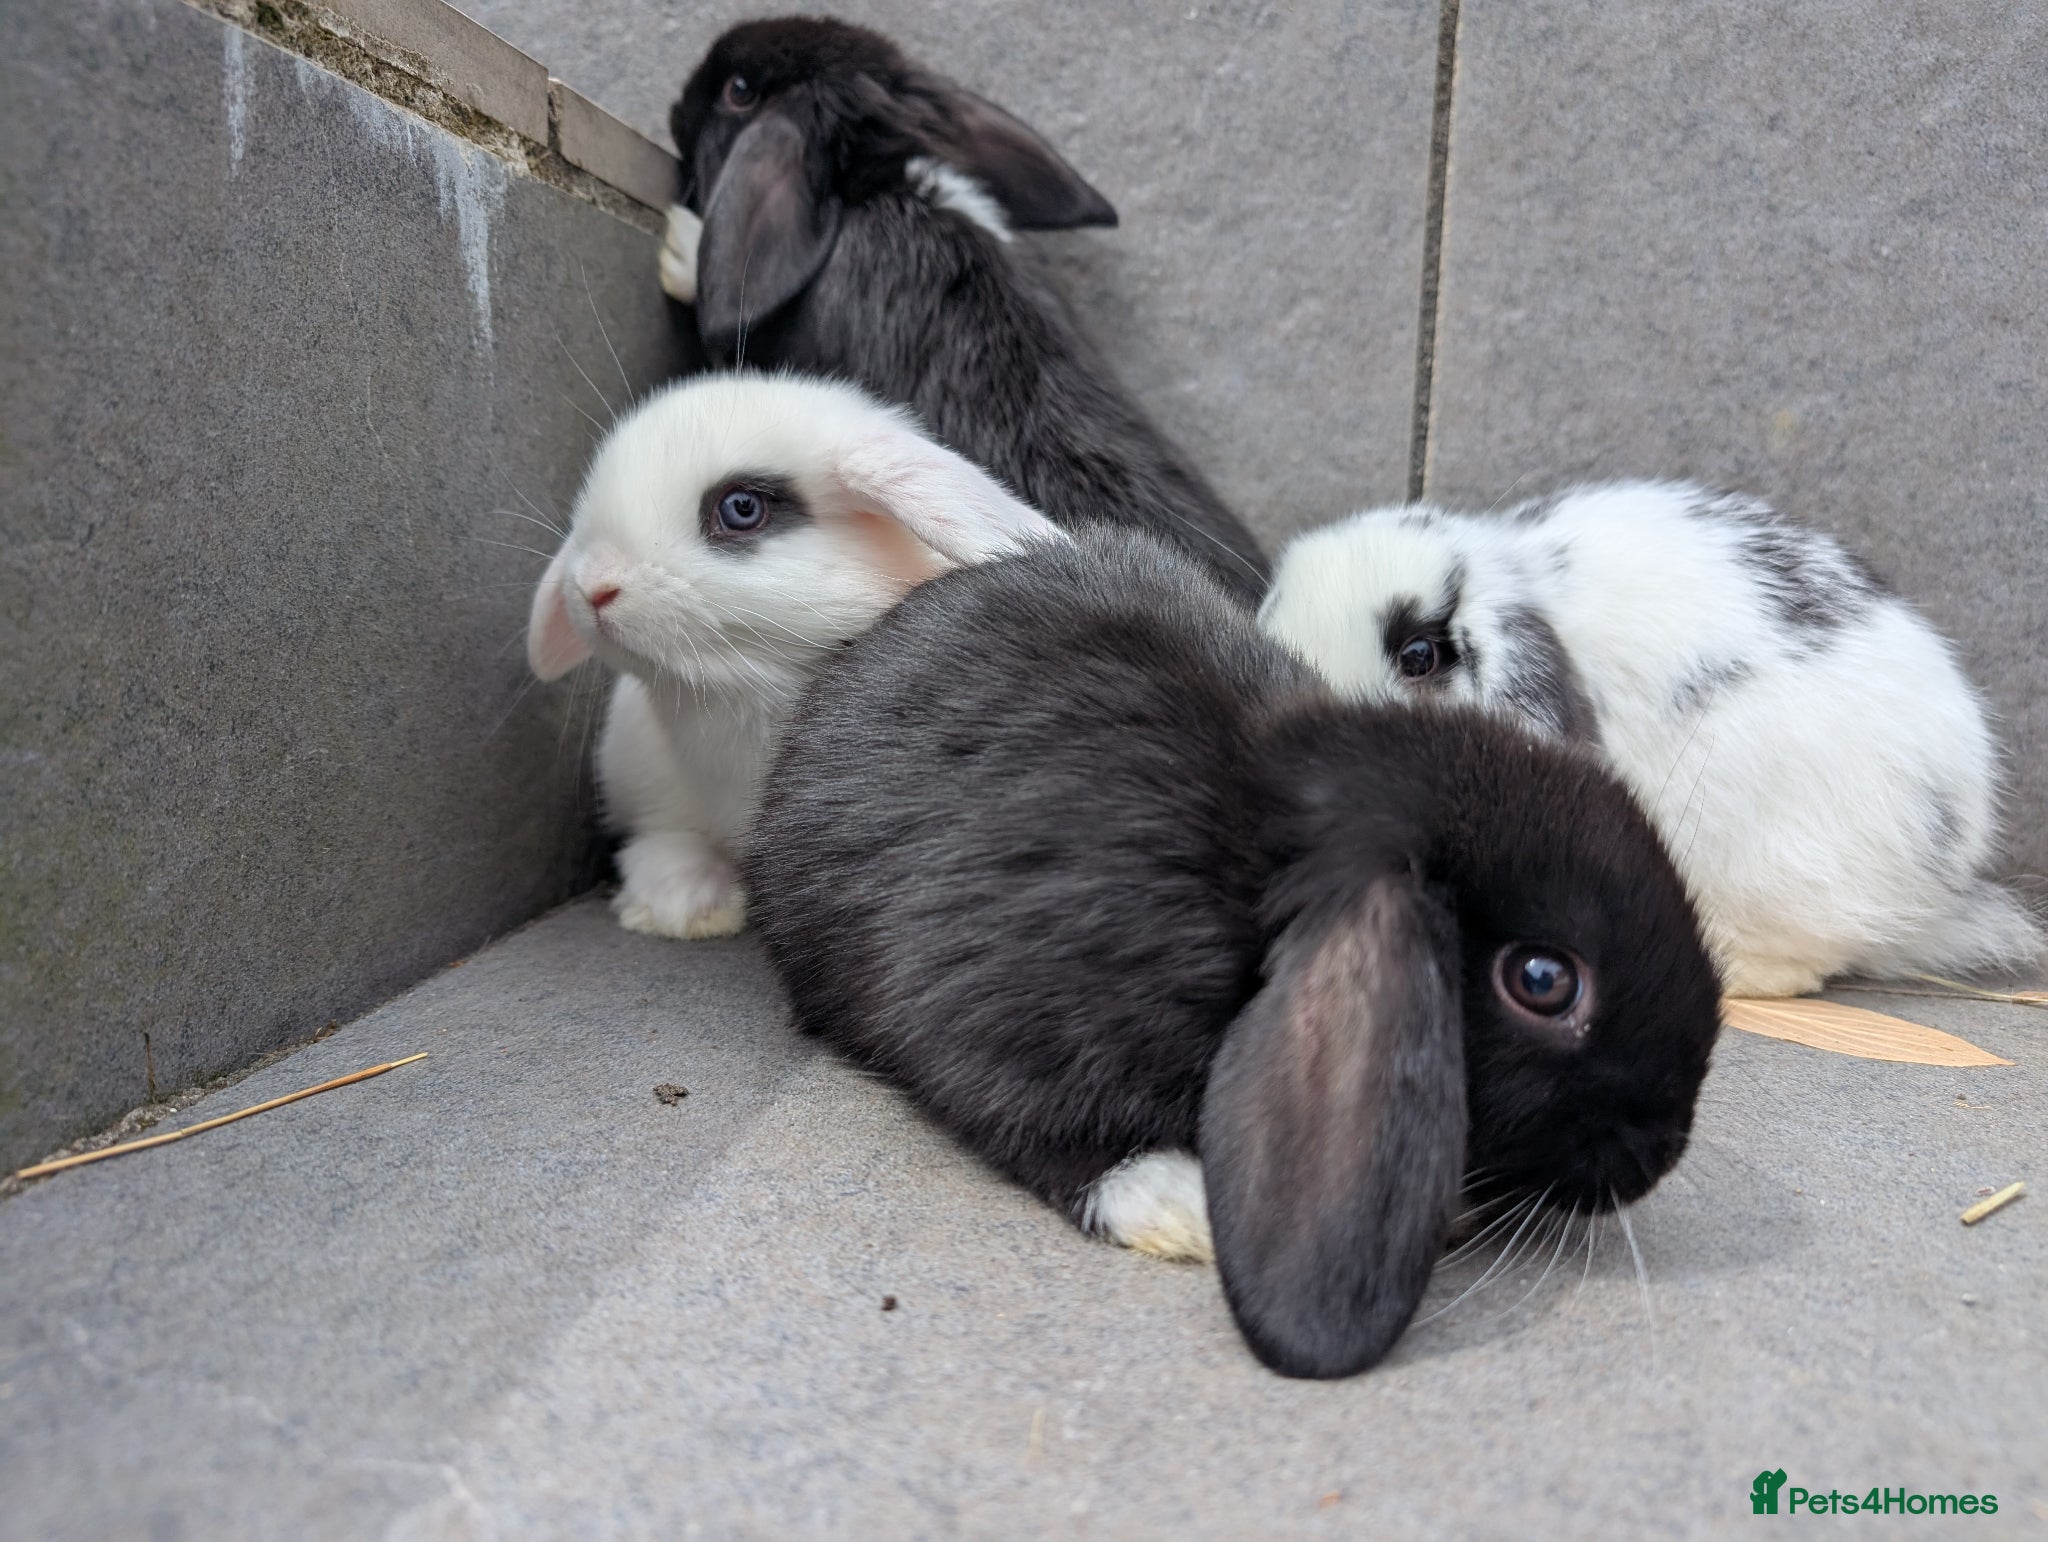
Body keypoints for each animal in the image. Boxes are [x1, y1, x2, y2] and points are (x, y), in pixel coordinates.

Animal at [743, 526, 1723, 1379]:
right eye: (1544, 981)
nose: (1664, 1152)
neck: (1249, 870)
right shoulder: (998, 1012)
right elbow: (1041, 1126)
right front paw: (1177, 1208)